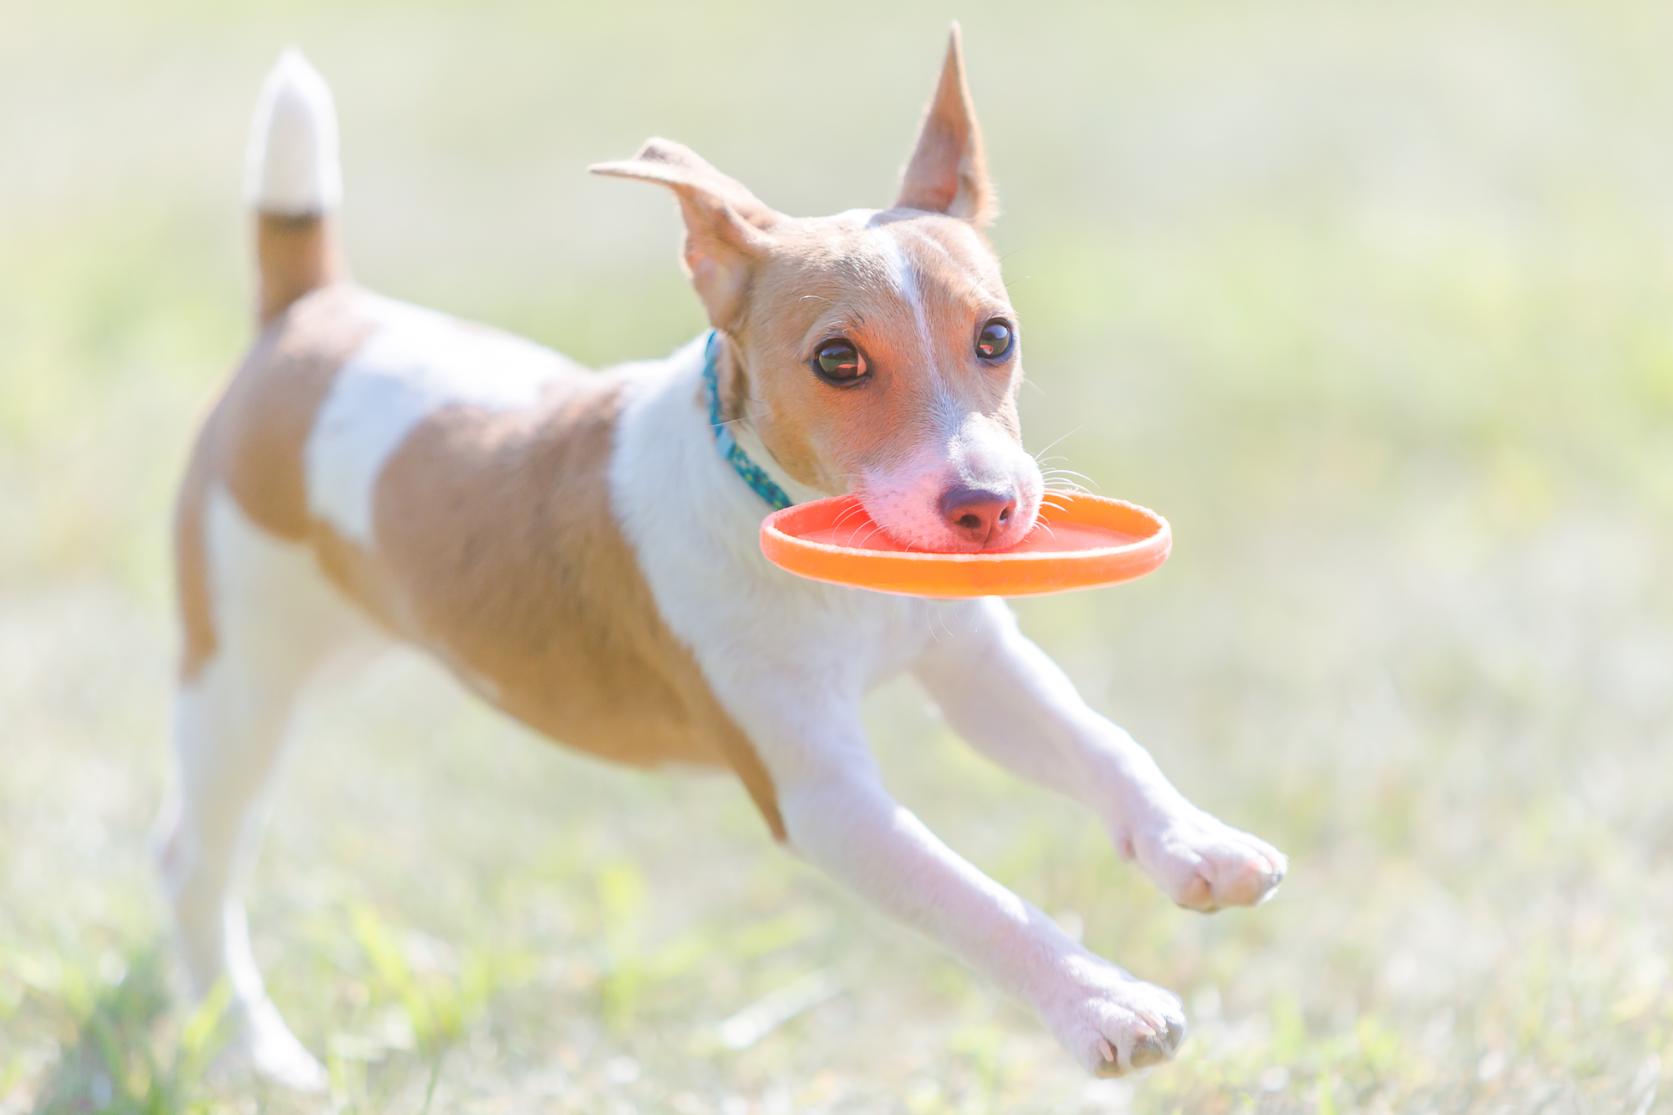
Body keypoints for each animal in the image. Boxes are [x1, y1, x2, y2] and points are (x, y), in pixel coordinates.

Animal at [153, 28, 1278, 1084]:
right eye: (837, 359)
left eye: (994, 338)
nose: (988, 509)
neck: (829, 556)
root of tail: (313, 311)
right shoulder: (820, 793)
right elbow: (972, 894)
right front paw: (1102, 999)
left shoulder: (973, 663)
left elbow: (1100, 742)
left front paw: (1197, 842)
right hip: (242, 675)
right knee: (197, 862)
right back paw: (252, 1044)